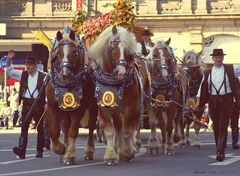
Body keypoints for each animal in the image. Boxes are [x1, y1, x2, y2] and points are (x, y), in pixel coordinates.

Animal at [45, 26, 97, 165]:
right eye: (57, 54)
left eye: (74, 52)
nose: (65, 75)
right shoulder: (52, 106)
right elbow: (54, 131)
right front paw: (61, 149)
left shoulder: (80, 107)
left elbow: (73, 131)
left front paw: (69, 155)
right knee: (65, 126)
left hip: (93, 105)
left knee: (91, 126)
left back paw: (89, 151)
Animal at [88, 24, 154, 165]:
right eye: (113, 48)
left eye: (128, 51)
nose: (122, 72)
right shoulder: (104, 107)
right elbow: (110, 131)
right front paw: (111, 155)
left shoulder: (130, 107)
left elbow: (127, 131)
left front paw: (127, 152)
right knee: (118, 126)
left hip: (143, 101)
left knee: (140, 124)